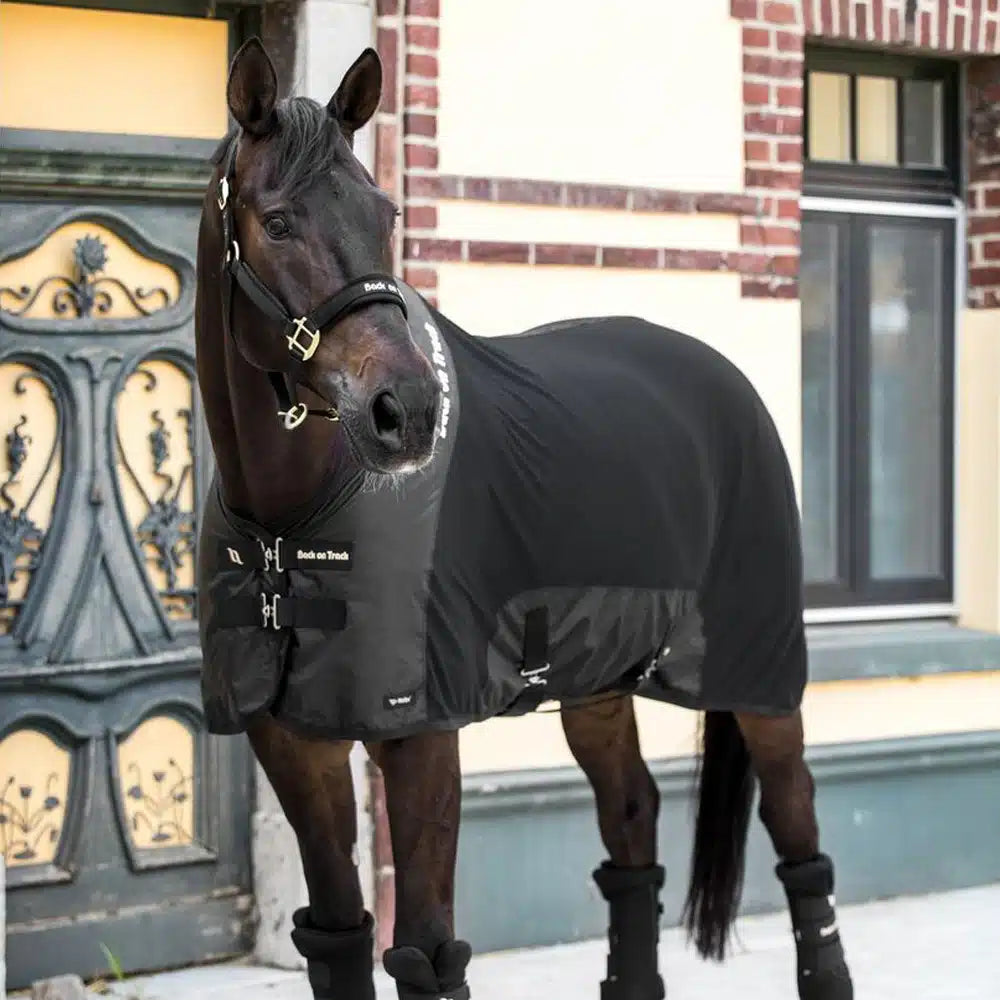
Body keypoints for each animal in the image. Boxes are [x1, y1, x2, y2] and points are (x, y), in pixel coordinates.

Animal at [193, 37, 854, 1000]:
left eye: (384, 212)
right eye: (276, 223)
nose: (406, 411)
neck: (294, 517)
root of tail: (727, 380)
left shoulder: (421, 737)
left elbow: (426, 956)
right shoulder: (291, 742)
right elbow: (338, 939)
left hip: (759, 673)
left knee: (800, 836)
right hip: (599, 678)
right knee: (633, 822)